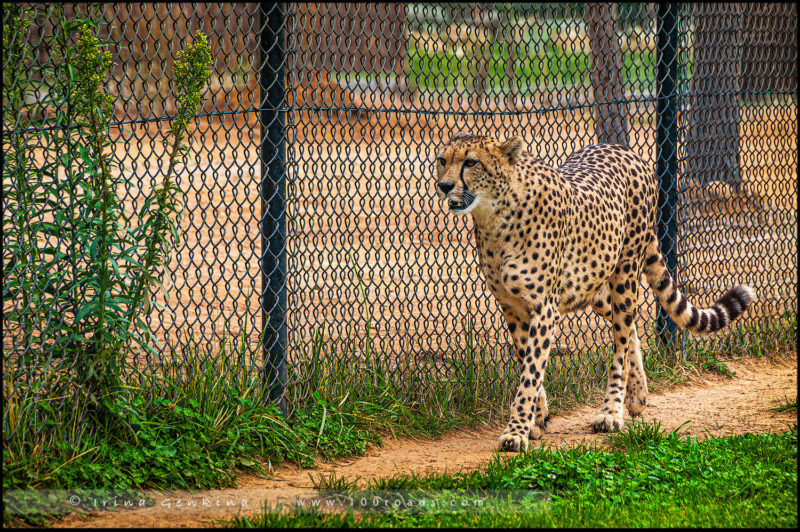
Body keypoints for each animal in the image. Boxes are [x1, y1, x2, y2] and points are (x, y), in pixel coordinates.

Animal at [438, 134, 756, 454]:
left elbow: (530, 373)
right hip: (594, 284)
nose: (444, 185)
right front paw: (538, 418)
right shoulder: (512, 306)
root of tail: (623, 149)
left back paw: (612, 412)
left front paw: (517, 432)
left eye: (471, 162)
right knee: (630, 329)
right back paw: (638, 396)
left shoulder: (543, 308)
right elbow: (525, 361)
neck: (494, 216)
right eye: (442, 160)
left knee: (621, 342)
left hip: (625, 274)